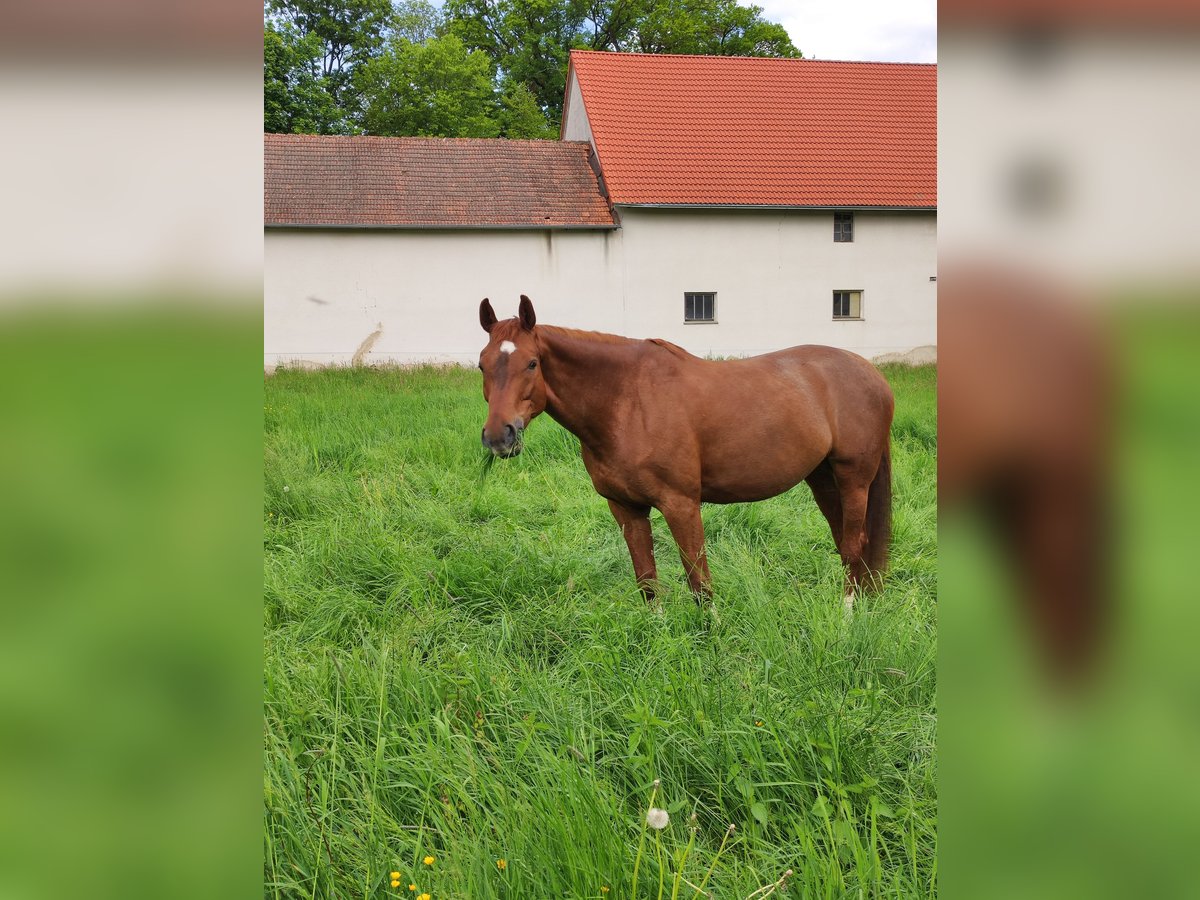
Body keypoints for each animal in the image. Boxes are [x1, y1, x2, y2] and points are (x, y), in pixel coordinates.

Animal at [475, 300, 892, 609]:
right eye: (482, 364)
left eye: (532, 363)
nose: (499, 435)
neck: (628, 402)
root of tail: (872, 374)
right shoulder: (625, 508)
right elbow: (647, 582)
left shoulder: (681, 505)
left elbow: (699, 583)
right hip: (822, 477)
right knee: (845, 544)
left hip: (853, 478)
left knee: (854, 545)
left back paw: (846, 618)